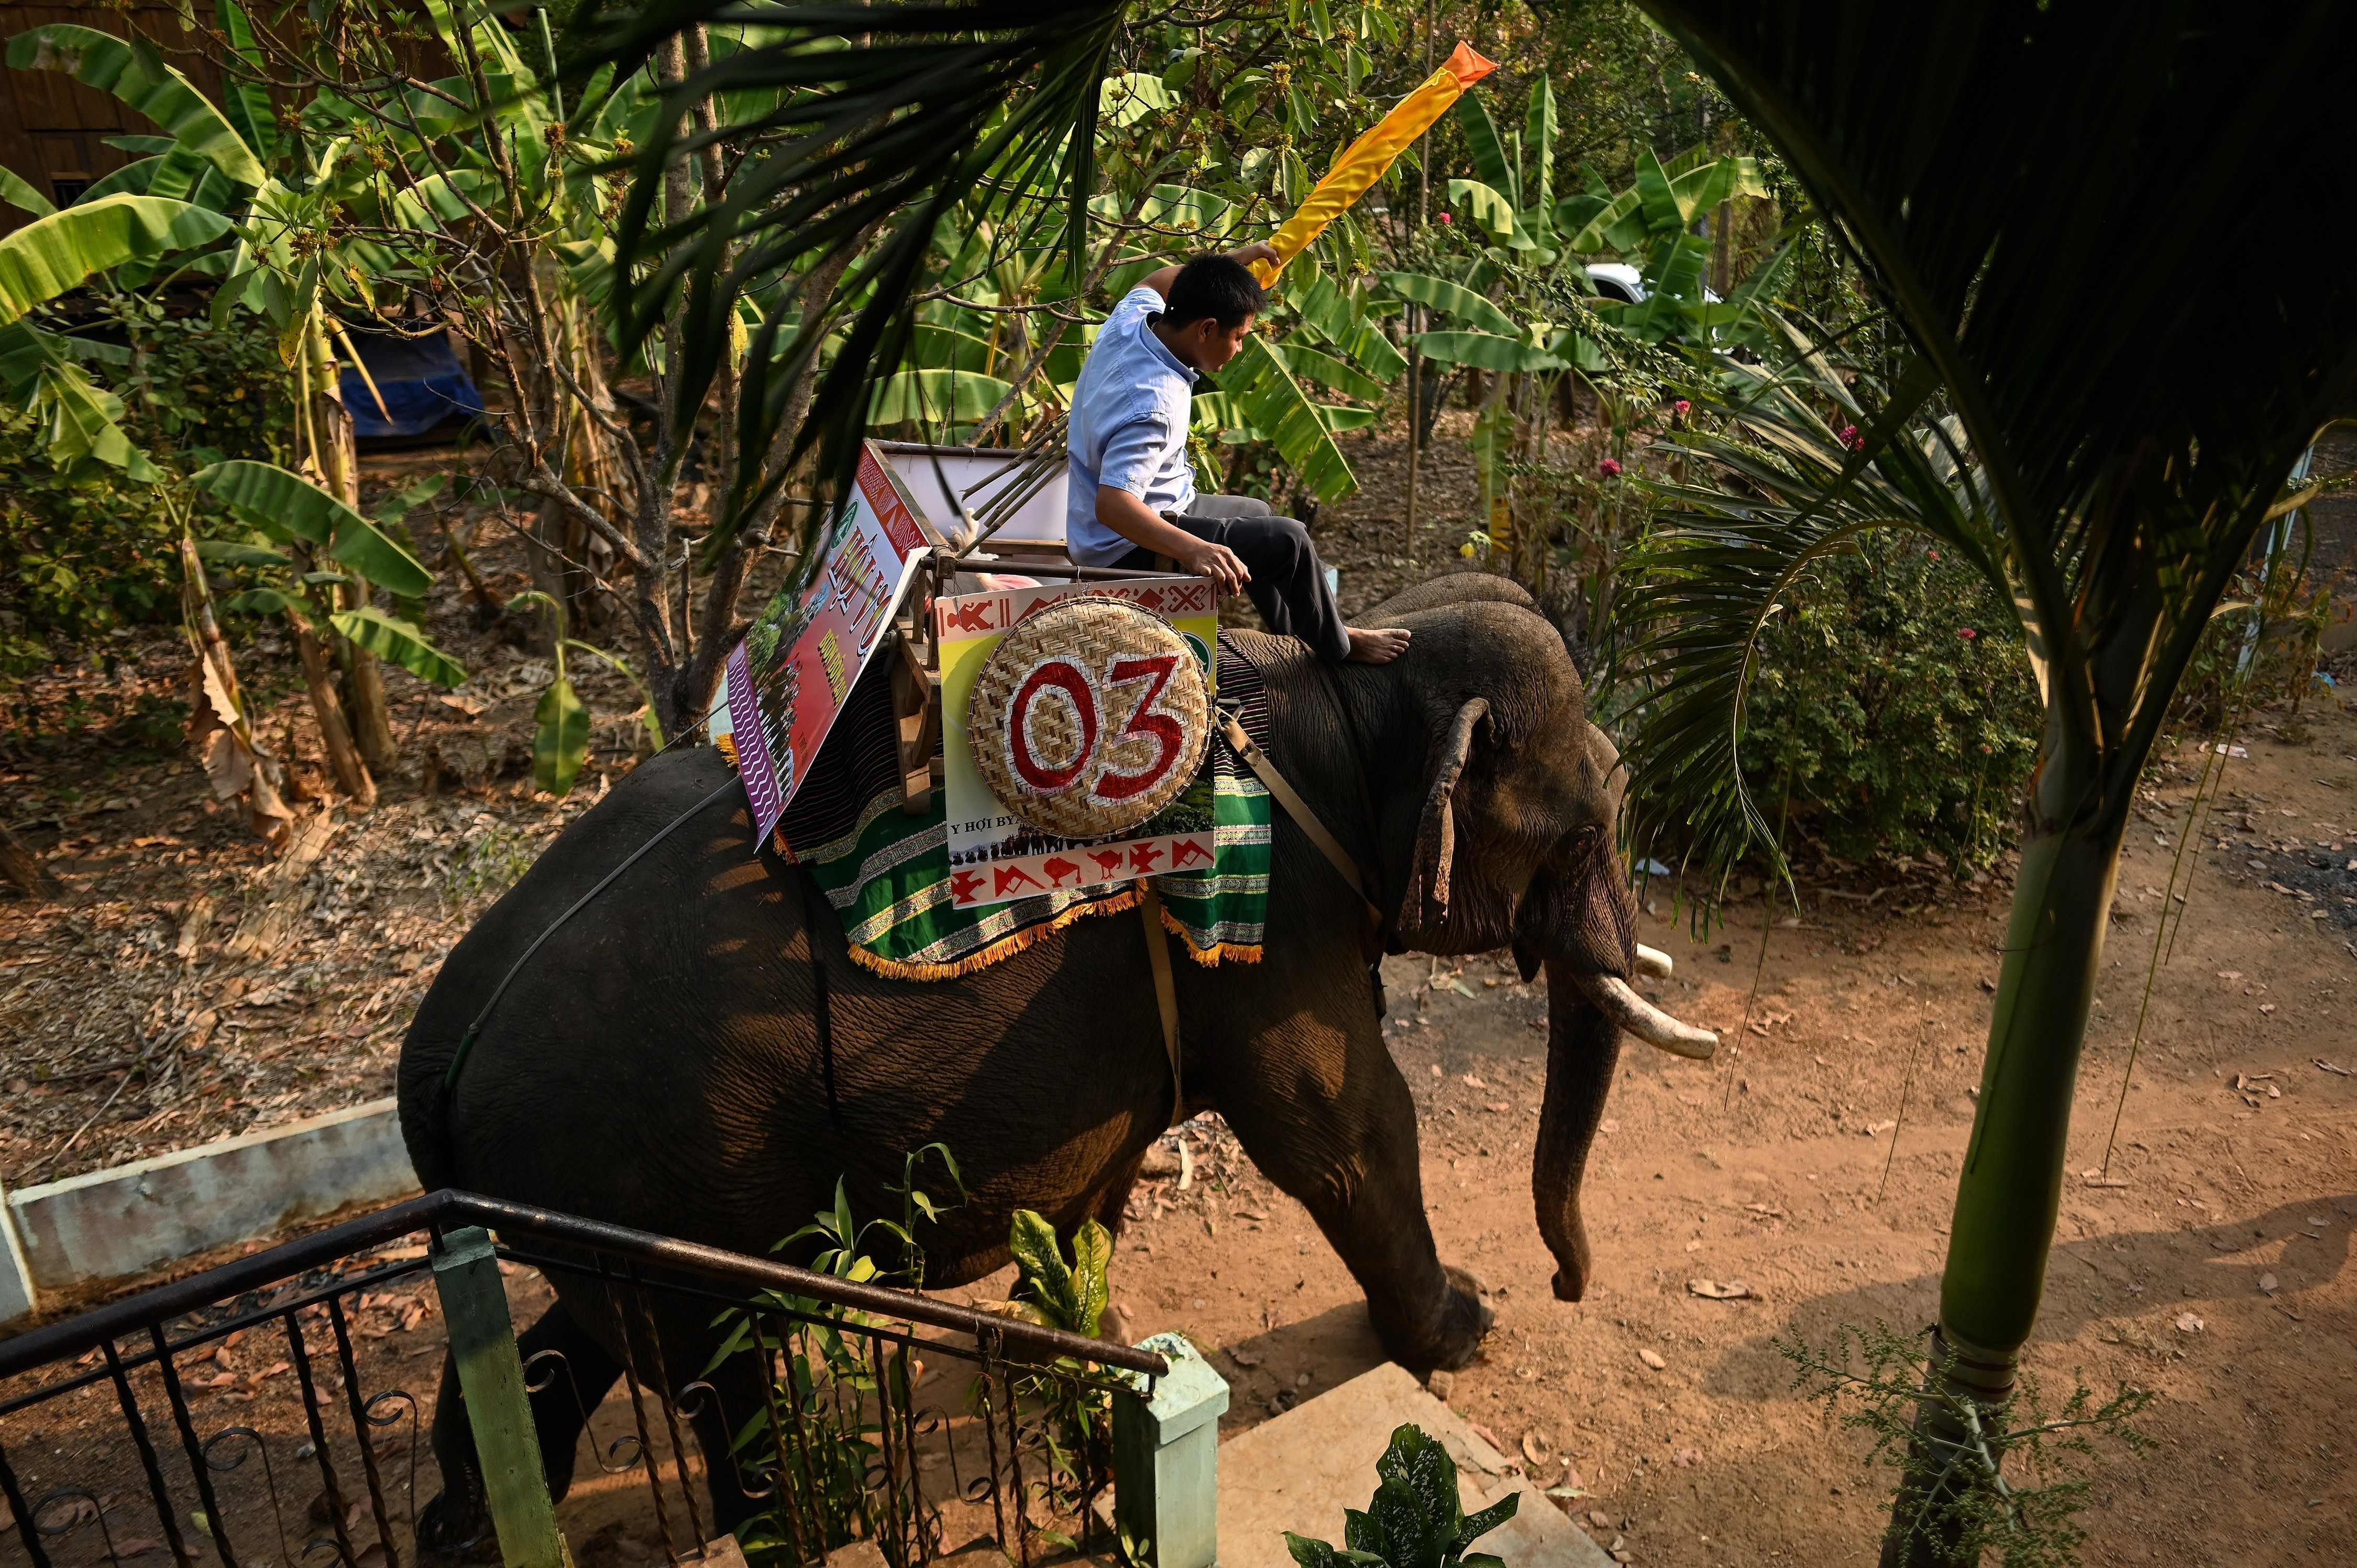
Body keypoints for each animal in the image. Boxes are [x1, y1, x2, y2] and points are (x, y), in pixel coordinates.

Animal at [391, 568, 1716, 1547]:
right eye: (1586, 830)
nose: (1565, 1284)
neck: (1350, 680)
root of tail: (431, 1066)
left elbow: (1086, 1197)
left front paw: (1100, 1387)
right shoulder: (1274, 929)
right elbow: (1345, 1129)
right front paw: (1460, 1331)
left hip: (581, 1197)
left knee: (563, 1344)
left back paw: (458, 1529)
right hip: (649, 1172)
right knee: (727, 1381)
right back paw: (800, 1529)